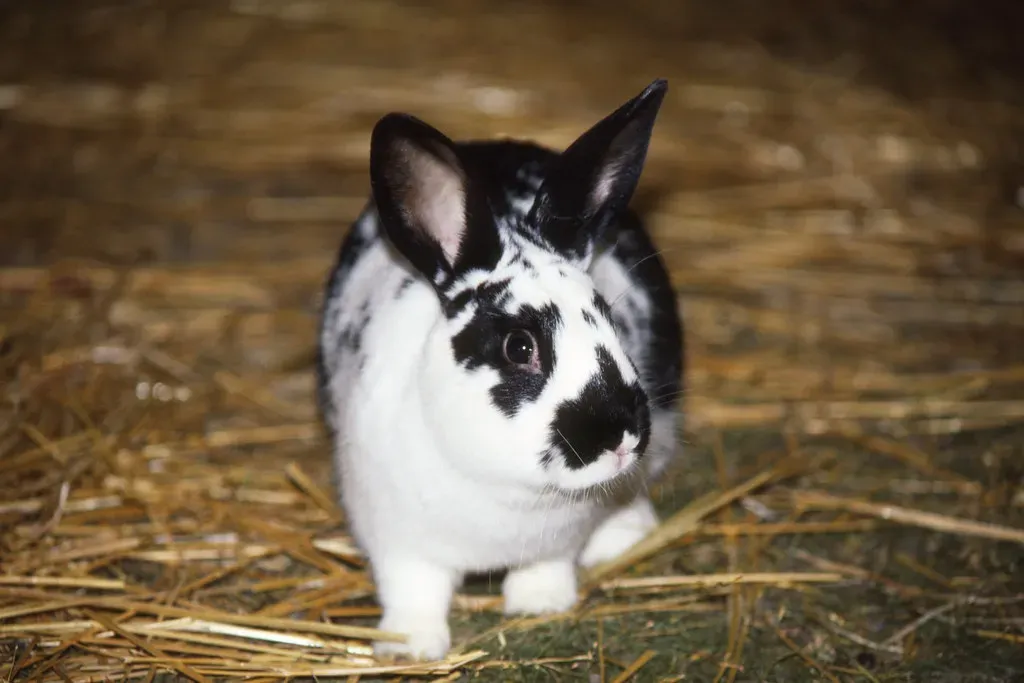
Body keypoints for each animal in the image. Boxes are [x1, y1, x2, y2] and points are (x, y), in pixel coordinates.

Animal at [316, 78, 684, 661]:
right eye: (519, 346)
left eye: (607, 316)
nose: (619, 439)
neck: (508, 488)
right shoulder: (397, 541)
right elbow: (413, 592)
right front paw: (410, 647)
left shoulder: (556, 544)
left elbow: (546, 567)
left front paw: (539, 605)